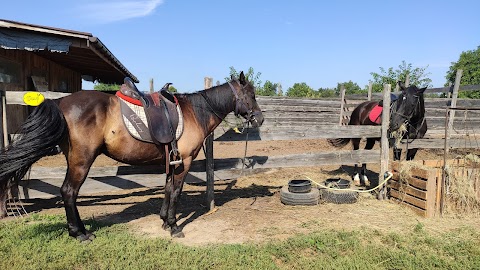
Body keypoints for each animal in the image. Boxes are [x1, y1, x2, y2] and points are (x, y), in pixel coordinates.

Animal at [0, 71, 264, 240]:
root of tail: (61, 102)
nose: (259, 119)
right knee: (68, 192)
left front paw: (164, 220)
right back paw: (79, 234)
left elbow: (168, 189)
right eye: (251, 95)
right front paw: (174, 226)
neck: (194, 112)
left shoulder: (172, 161)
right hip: (81, 161)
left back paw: (81, 231)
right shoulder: (184, 162)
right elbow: (176, 192)